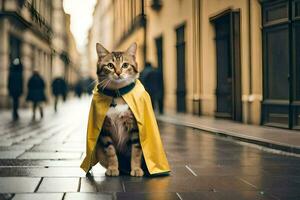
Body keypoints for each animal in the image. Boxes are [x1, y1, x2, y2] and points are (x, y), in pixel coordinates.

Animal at [95, 42, 144, 177]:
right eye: (110, 65)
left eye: (125, 65)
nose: (118, 72)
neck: (117, 94)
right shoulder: (105, 128)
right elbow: (110, 151)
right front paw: (112, 168)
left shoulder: (135, 127)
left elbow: (136, 151)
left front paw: (136, 169)